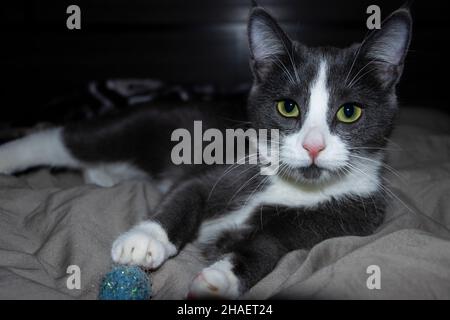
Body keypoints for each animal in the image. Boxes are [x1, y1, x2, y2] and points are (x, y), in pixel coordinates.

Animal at [0, 4, 412, 300]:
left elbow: (268, 245)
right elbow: (188, 194)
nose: (313, 145)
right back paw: (12, 156)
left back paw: (102, 175)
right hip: (138, 127)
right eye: (288, 107)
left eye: (349, 112)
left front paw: (219, 278)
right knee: (63, 139)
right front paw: (145, 240)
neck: (294, 186)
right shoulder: (224, 167)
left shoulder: (343, 219)